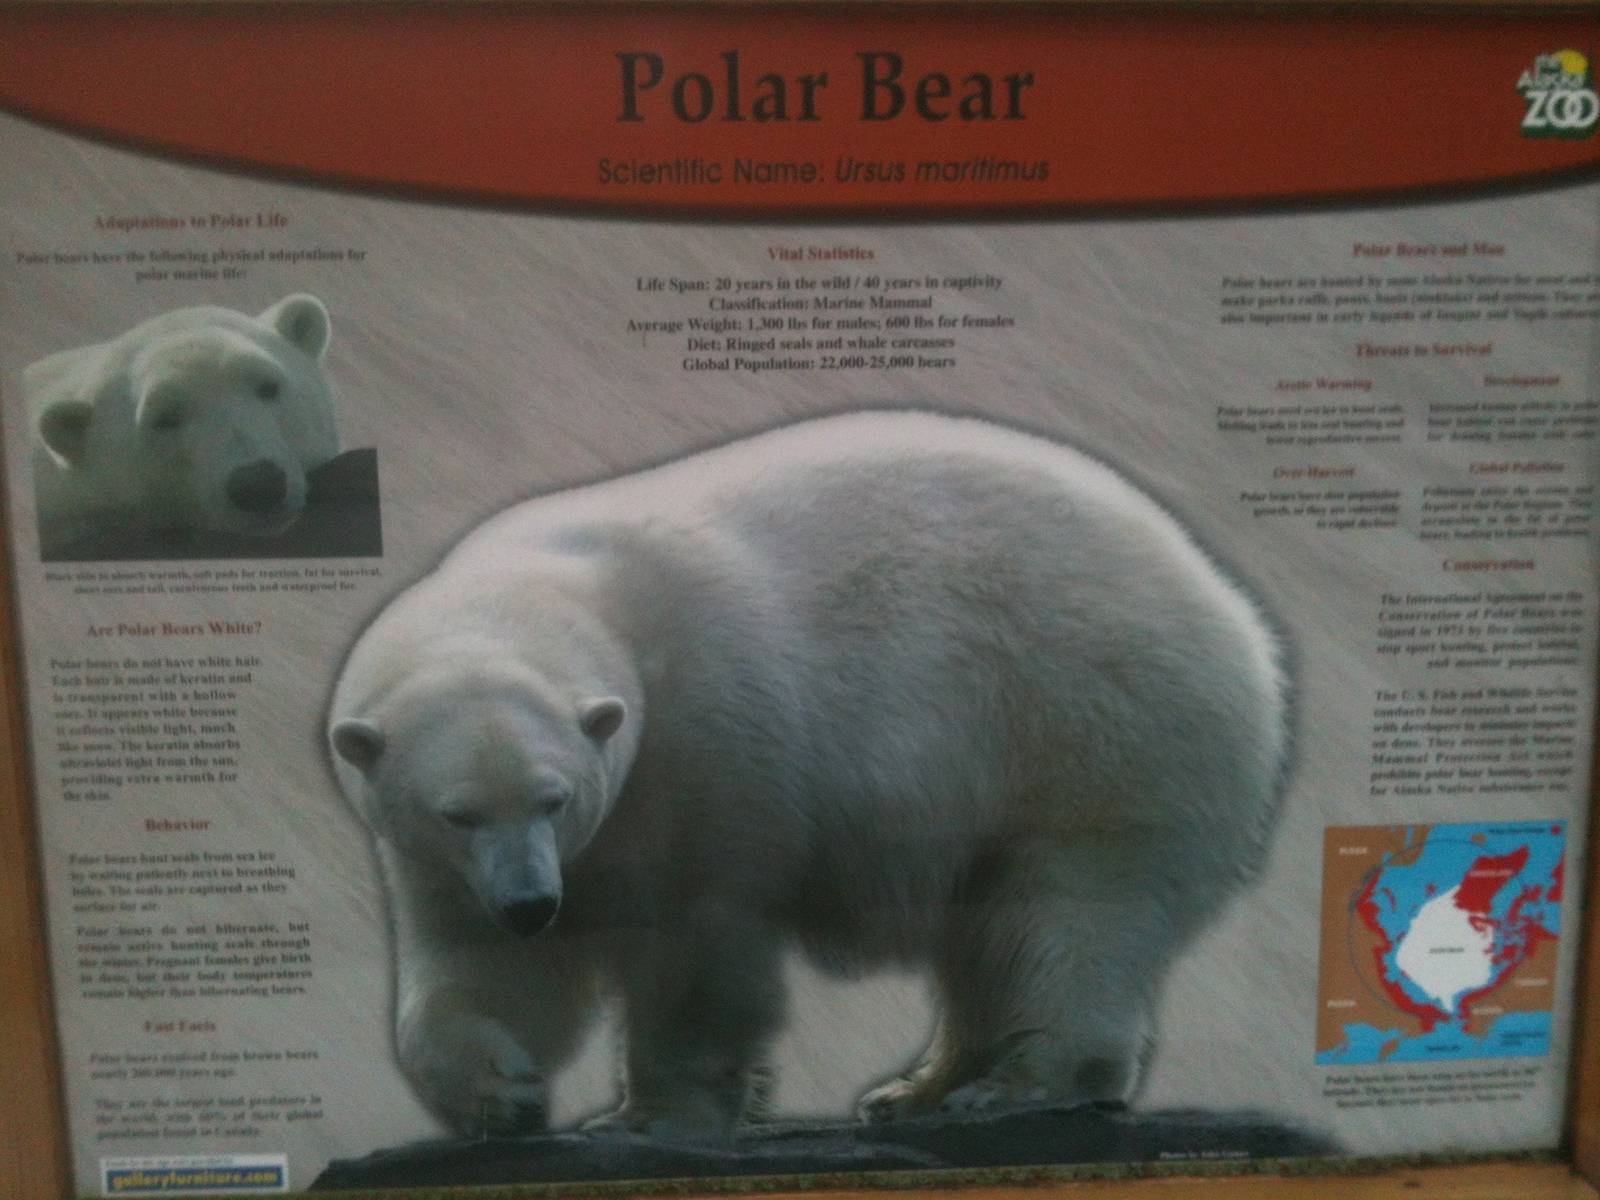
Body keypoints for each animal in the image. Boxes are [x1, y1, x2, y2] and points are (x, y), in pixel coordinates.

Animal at [326, 411, 1291, 1140]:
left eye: (553, 799)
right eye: (457, 813)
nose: (531, 901)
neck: (574, 596)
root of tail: (1234, 608)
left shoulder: (701, 743)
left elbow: (695, 939)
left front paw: (648, 1114)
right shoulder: (451, 858)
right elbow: (484, 964)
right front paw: (505, 1093)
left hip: (1092, 718)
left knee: (1070, 911)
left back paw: (1015, 1086)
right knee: (987, 929)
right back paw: (919, 1087)